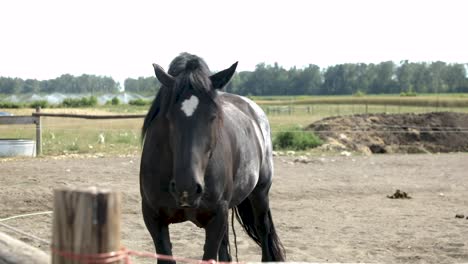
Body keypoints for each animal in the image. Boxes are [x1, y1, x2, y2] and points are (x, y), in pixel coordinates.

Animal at [139, 52, 286, 262]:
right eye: (168, 116)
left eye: (213, 116)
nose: (187, 189)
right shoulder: (154, 219)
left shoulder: (217, 218)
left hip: (260, 193)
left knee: (263, 230)